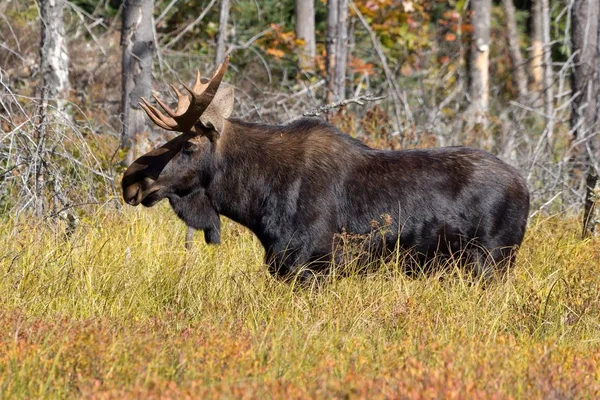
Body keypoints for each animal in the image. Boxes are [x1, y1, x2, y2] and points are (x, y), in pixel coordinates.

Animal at [122, 57, 528, 282]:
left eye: (188, 145)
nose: (131, 179)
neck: (255, 200)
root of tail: (526, 189)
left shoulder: (310, 267)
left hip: (492, 262)